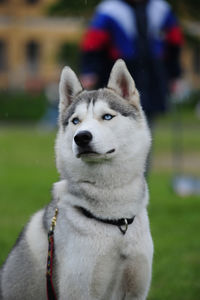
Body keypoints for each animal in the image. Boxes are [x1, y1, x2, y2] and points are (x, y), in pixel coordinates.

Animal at [0, 59, 153, 298]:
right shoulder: (80, 289)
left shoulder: (136, 288)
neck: (116, 223)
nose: (81, 137)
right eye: (75, 121)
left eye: (107, 116)